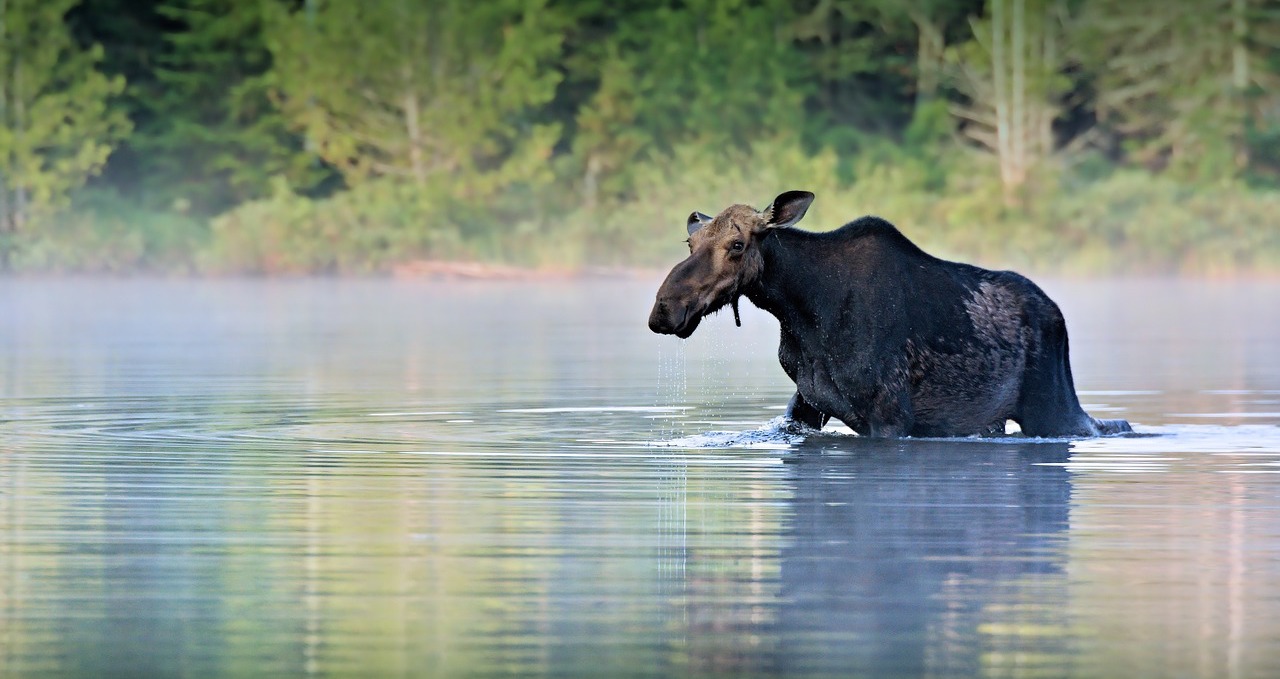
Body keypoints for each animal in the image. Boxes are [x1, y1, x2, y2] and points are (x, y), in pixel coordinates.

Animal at [650, 187, 1131, 435]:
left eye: (737, 245)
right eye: (690, 242)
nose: (664, 309)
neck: (801, 311)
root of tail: (1058, 317)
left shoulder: (891, 414)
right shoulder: (806, 403)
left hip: (1053, 405)